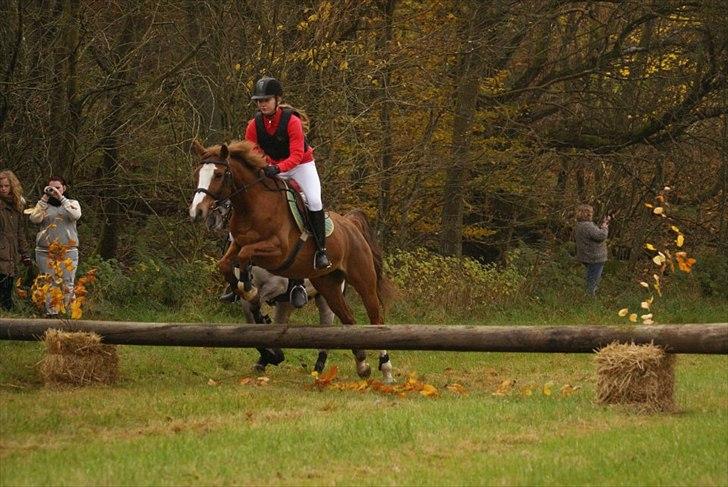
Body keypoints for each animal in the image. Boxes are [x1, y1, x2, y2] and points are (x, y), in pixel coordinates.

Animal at [189, 139, 396, 383]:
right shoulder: (238, 247)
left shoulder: (277, 257)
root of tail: (350, 224)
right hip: (327, 285)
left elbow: (247, 264)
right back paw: (362, 365)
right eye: (198, 174)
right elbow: (228, 268)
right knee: (349, 320)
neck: (254, 207)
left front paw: (249, 290)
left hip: (360, 280)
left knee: (374, 317)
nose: (198, 212)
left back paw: (385, 369)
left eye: (219, 174)